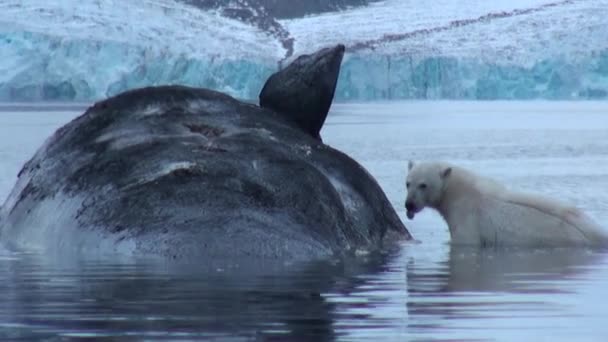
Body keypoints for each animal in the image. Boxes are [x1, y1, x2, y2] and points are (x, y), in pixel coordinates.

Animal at [404, 162, 608, 247]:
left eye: (423, 185)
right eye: (407, 183)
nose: (409, 205)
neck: (456, 189)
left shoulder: (466, 215)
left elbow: (464, 240)